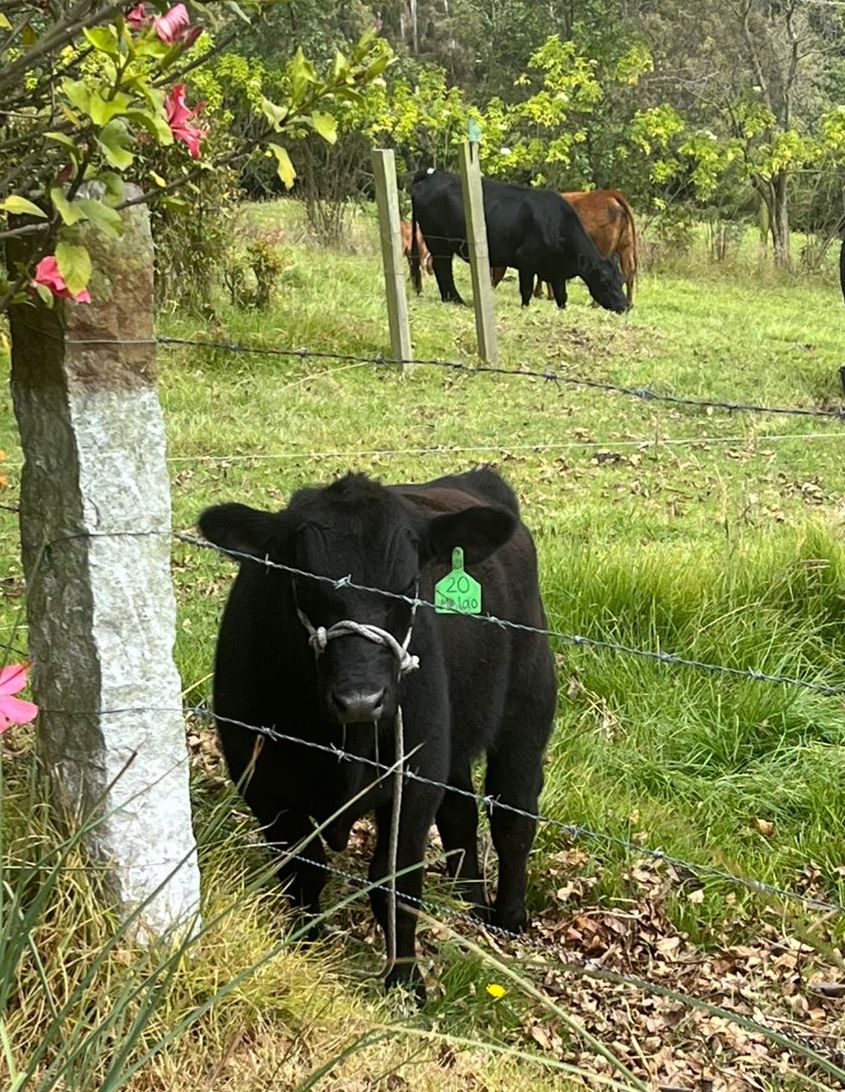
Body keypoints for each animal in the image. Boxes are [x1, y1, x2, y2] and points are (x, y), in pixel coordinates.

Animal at [199, 468, 556, 1002]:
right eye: (301, 581)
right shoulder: (262, 779)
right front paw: (306, 949)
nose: (360, 699)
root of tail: (476, 479)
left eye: (410, 586)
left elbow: (395, 882)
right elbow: (303, 870)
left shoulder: (415, 778)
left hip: (527, 712)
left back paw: (507, 918)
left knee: (514, 815)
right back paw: (470, 900)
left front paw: (405, 982)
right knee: (461, 812)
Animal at [492, 189, 638, 309]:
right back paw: (629, 303)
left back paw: (595, 303)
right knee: (629, 272)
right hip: (626, 247)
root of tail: (610, 194)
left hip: (604, 249)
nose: (491, 285)